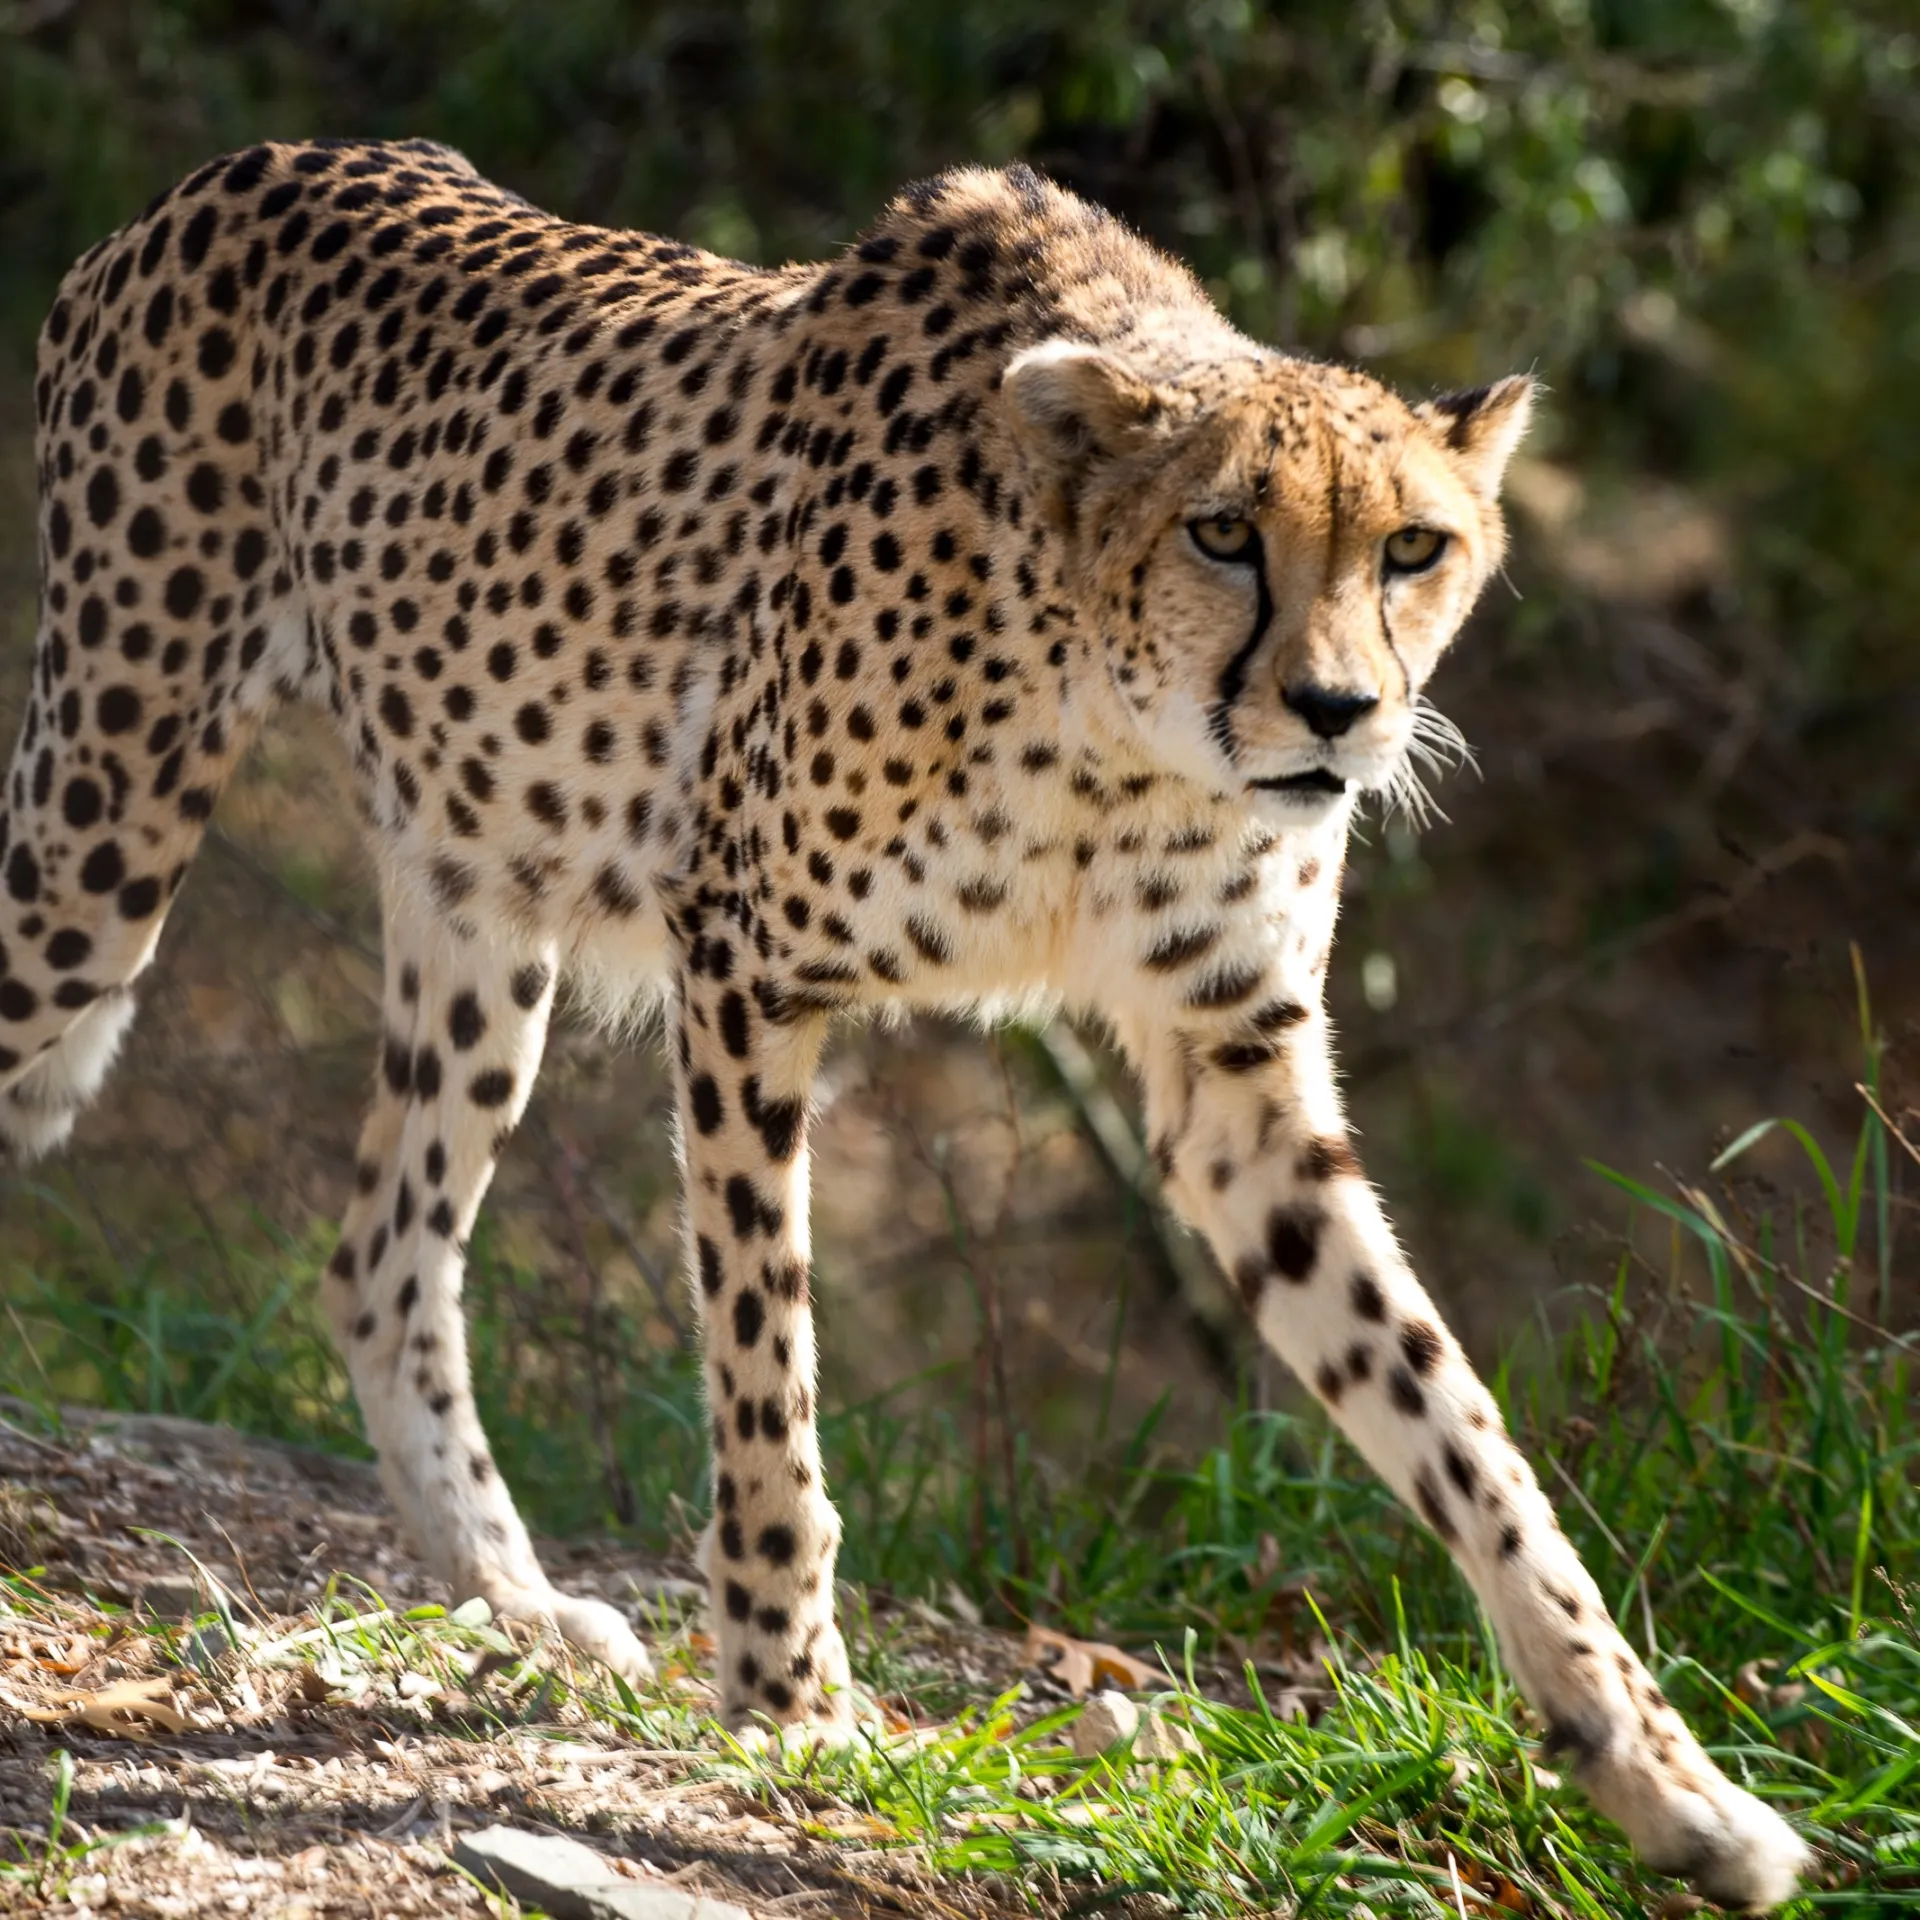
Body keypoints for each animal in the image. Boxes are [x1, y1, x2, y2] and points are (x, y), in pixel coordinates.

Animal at [7, 145, 1804, 1904]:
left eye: (1414, 549)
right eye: (1226, 533)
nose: (1339, 711)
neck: (1118, 734)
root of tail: (220, 177)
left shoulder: (1231, 1070)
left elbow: (1457, 1423)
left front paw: (1670, 1784)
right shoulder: (743, 970)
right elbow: (767, 1372)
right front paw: (791, 1693)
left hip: (479, 916)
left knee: (379, 1256)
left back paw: (515, 1602)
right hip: (108, 814)